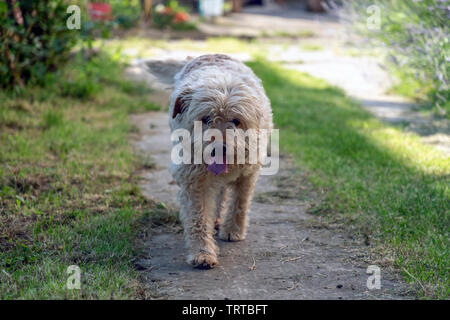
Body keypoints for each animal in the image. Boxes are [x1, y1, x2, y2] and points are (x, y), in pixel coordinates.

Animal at [170, 54, 272, 268]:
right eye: (206, 118)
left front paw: (233, 230)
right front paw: (202, 252)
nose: (219, 148)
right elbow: (198, 217)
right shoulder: (194, 180)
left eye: (236, 120)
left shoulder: (248, 174)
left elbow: (240, 202)